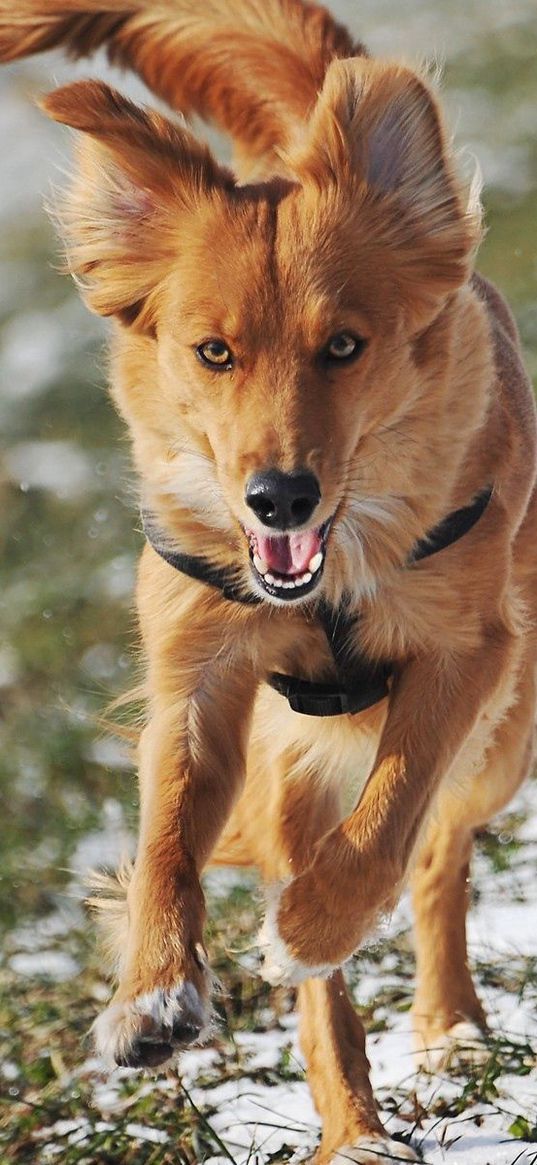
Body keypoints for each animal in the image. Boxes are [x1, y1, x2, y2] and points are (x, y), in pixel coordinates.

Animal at [2, 2, 533, 1165]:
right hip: (295, 767)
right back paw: (354, 1128)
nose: (278, 498)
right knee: (327, 975)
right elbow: (164, 841)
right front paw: (151, 996)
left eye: (344, 346)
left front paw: (308, 925)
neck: (326, 578)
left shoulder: (466, 652)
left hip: (505, 744)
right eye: (213, 353)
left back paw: (449, 1024)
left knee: (437, 851)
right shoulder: (198, 673)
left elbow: (390, 817)